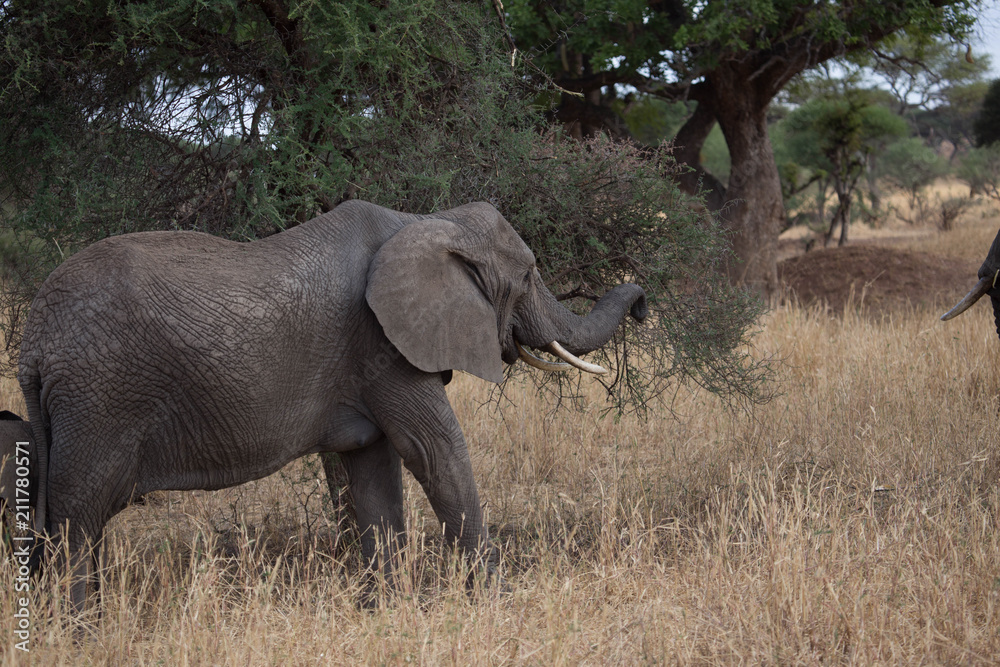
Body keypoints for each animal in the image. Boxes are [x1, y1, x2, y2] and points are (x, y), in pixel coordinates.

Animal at [18, 199, 647, 610]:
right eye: (530, 274)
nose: (642, 305)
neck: (426, 221)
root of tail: (34, 340)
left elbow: (375, 469)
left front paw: (387, 610)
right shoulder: (382, 345)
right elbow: (434, 451)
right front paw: (499, 602)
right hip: (100, 399)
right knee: (77, 517)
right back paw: (78, 631)